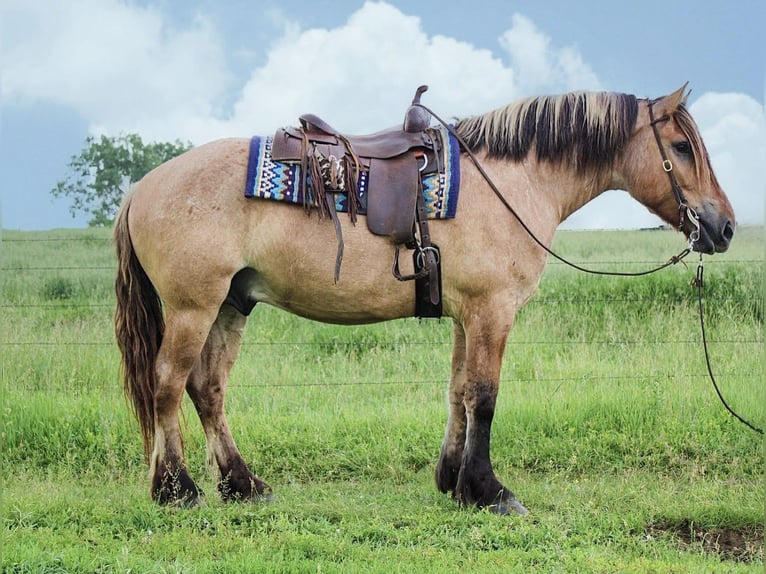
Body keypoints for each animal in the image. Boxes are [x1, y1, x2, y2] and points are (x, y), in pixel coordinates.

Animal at [114, 85, 735, 514]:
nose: (724, 227)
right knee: (167, 383)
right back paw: (177, 489)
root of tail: (141, 187)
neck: (513, 181)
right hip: (194, 307)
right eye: (681, 147)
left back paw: (242, 485)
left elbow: (458, 391)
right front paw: (489, 491)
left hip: (230, 304)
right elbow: (484, 396)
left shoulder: (467, 316)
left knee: (207, 388)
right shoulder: (491, 311)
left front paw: (453, 480)